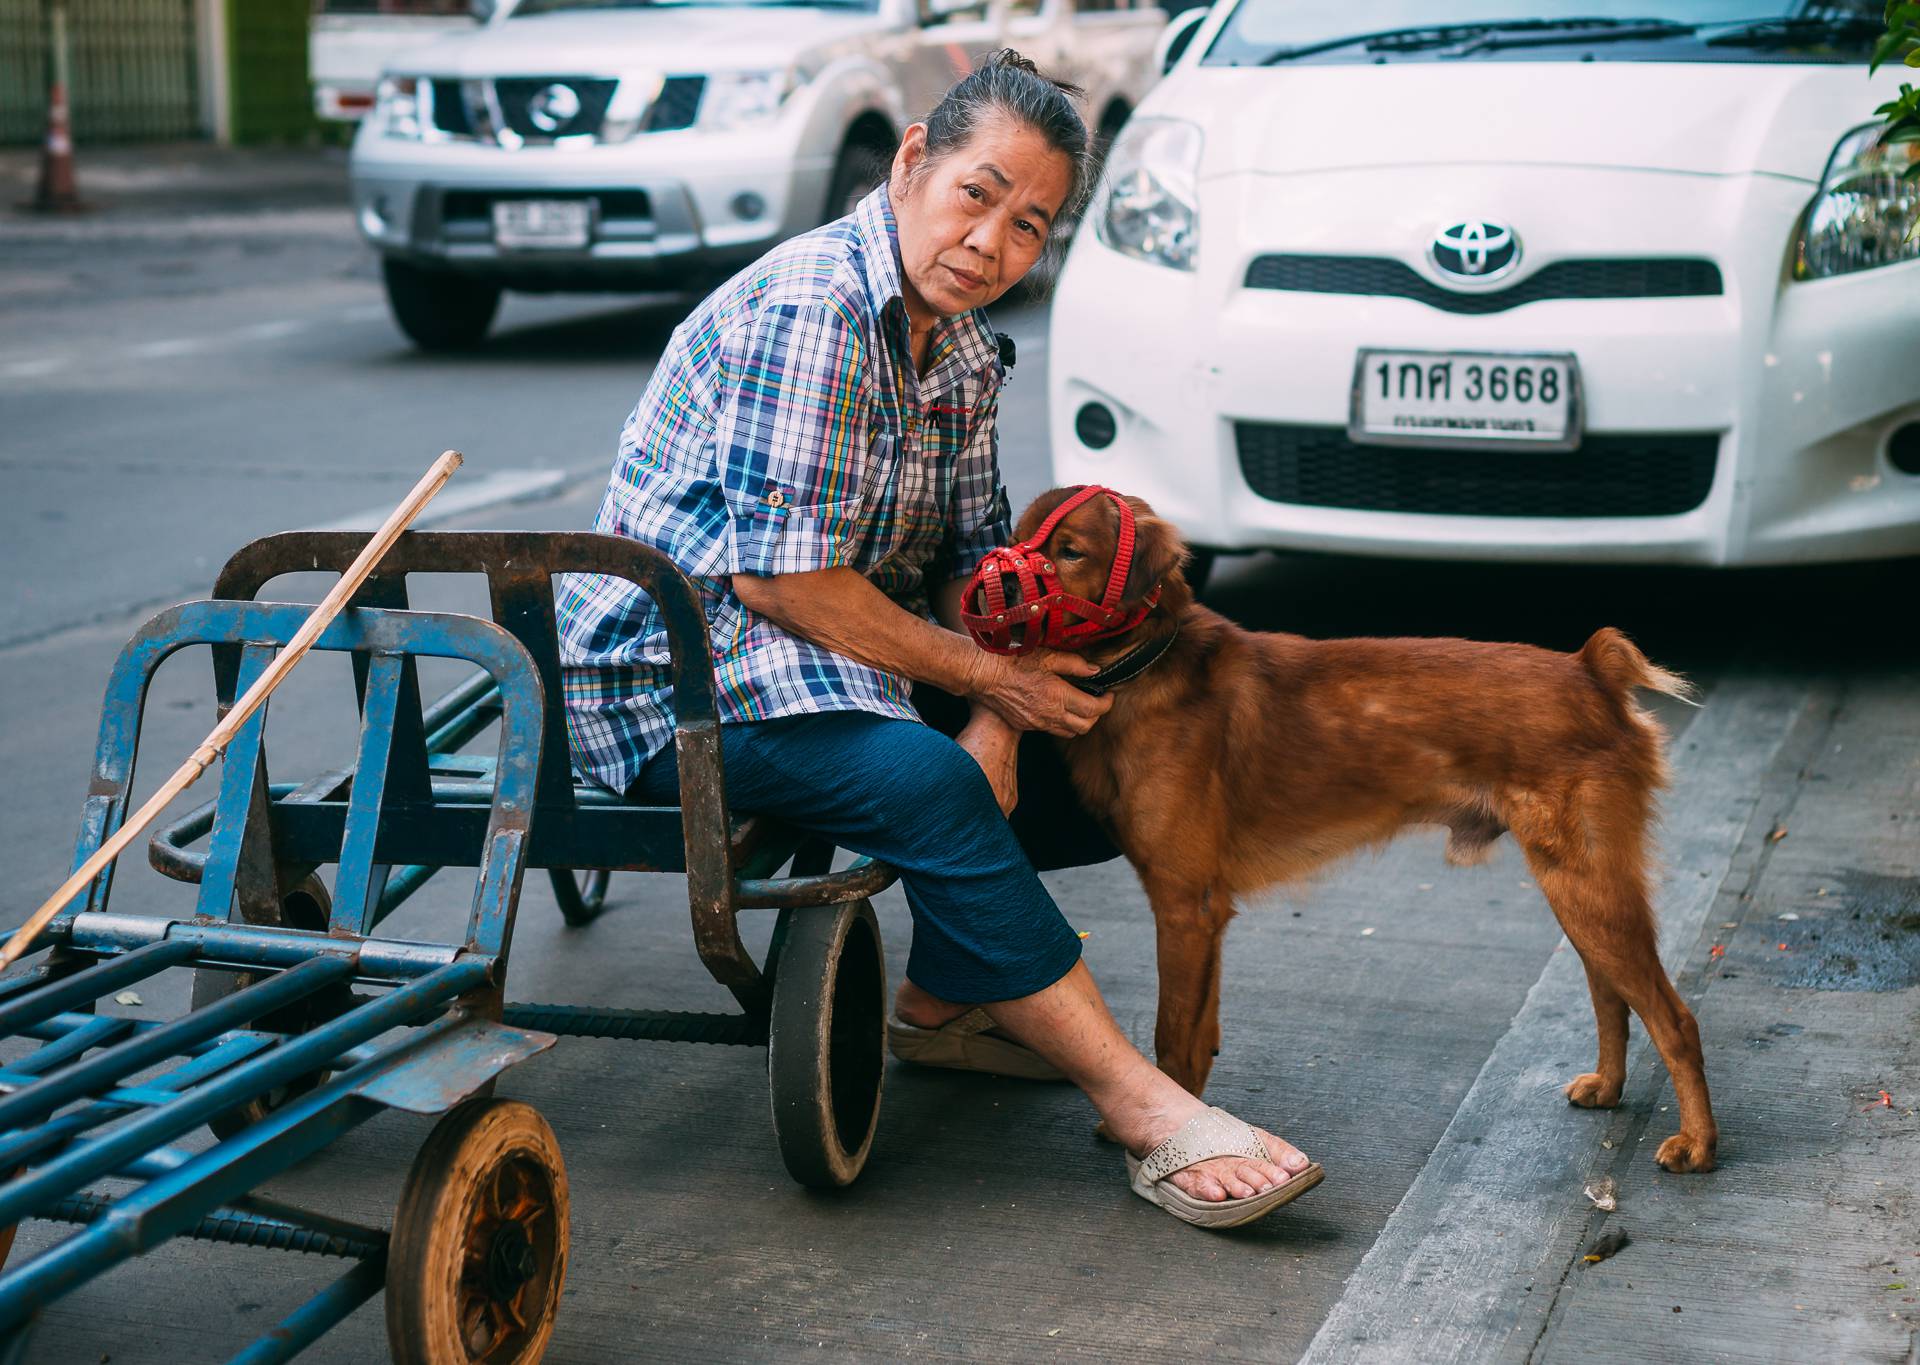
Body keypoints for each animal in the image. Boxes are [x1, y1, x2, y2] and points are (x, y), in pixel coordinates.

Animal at [1013, 487, 1720, 1174]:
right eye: (1015, 534)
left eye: (1070, 551)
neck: (1147, 666)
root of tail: (1590, 670)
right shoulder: (1205, 916)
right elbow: (1199, 1036)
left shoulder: (1184, 908)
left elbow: (1172, 1036)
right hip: (1578, 889)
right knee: (1610, 995)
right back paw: (1609, 1086)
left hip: (1587, 888)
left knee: (1675, 1019)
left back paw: (1699, 1144)